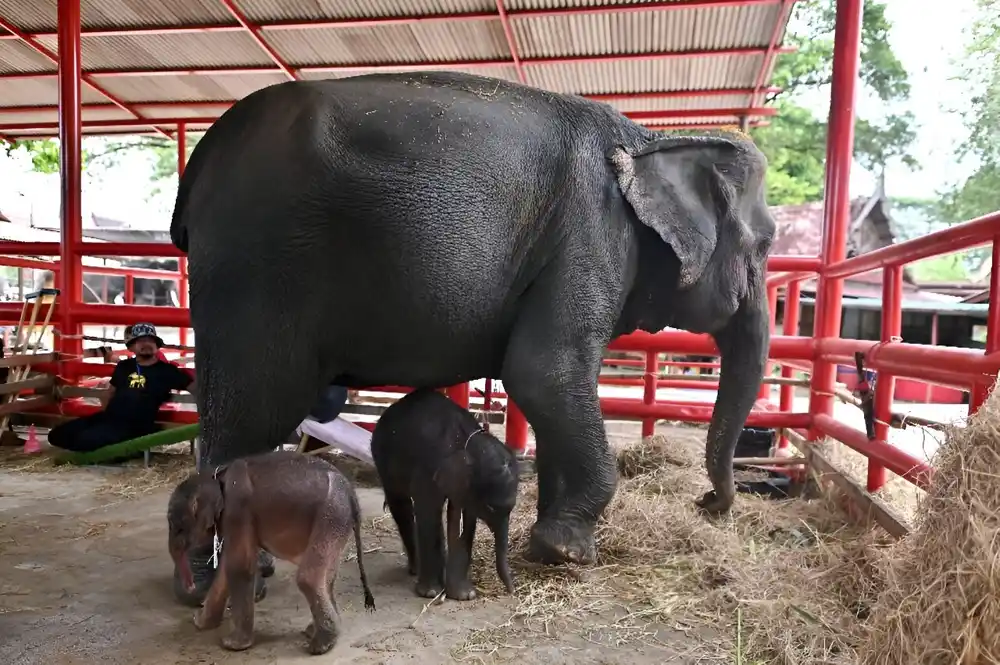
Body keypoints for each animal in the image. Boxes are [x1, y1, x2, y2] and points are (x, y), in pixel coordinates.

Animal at [167, 448, 376, 652]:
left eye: (177, 527)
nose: (191, 586)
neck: (215, 477)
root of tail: (352, 495)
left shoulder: (237, 509)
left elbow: (240, 567)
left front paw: (232, 645)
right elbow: (226, 569)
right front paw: (200, 622)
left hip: (331, 515)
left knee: (308, 578)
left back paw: (319, 645)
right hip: (336, 522)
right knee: (327, 577)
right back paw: (316, 632)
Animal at [172, 72, 776, 564]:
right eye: (768, 242)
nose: (709, 502)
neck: (652, 137)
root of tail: (201, 159)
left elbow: (548, 390)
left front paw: (546, 542)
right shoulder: (592, 235)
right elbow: (544, 372)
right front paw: (567, 553)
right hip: (258, 265)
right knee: (250, 417)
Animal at [372, 386, 520, 600]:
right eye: (490, 508)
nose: (511, 591)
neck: (466, 441)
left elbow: (463, 518)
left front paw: (464, 595)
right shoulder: (427, 469)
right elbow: (428, 511)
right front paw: (431, 592)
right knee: (401, 505)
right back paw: (415, 570)